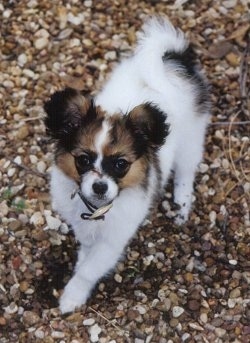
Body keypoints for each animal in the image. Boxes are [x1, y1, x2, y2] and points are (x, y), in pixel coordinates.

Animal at [44, 18, 210, 314]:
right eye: (83, 160)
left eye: (120, 164)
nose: (99, 187)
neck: (96, 210)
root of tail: (173, 59)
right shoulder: (82, 225)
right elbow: (86, 250)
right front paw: (81, 261)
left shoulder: (114, 240)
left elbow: (90, 269)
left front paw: (72, 296)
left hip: (192, 137)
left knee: (186, 170)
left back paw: (181, 203)